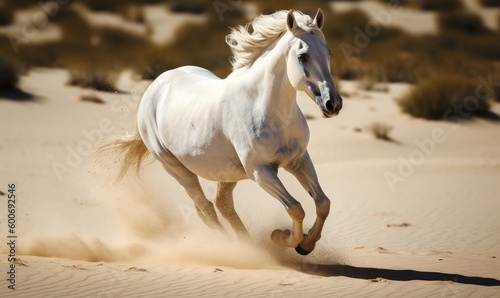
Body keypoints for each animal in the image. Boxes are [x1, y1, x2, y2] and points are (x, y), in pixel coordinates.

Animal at [106, 9, 344, 254]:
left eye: (328, 51)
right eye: (302, 56)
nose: (332, 104)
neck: (267, 109)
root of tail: (156, 85)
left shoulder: (298, 160)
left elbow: (323, 204)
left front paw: (306, 245)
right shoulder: (260, 171)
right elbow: (296, 208)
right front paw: (282, 237)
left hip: (227, 173)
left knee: (222, 205)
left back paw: (246, 243)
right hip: (177, 169)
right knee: (206, 208)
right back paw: (238, 249)